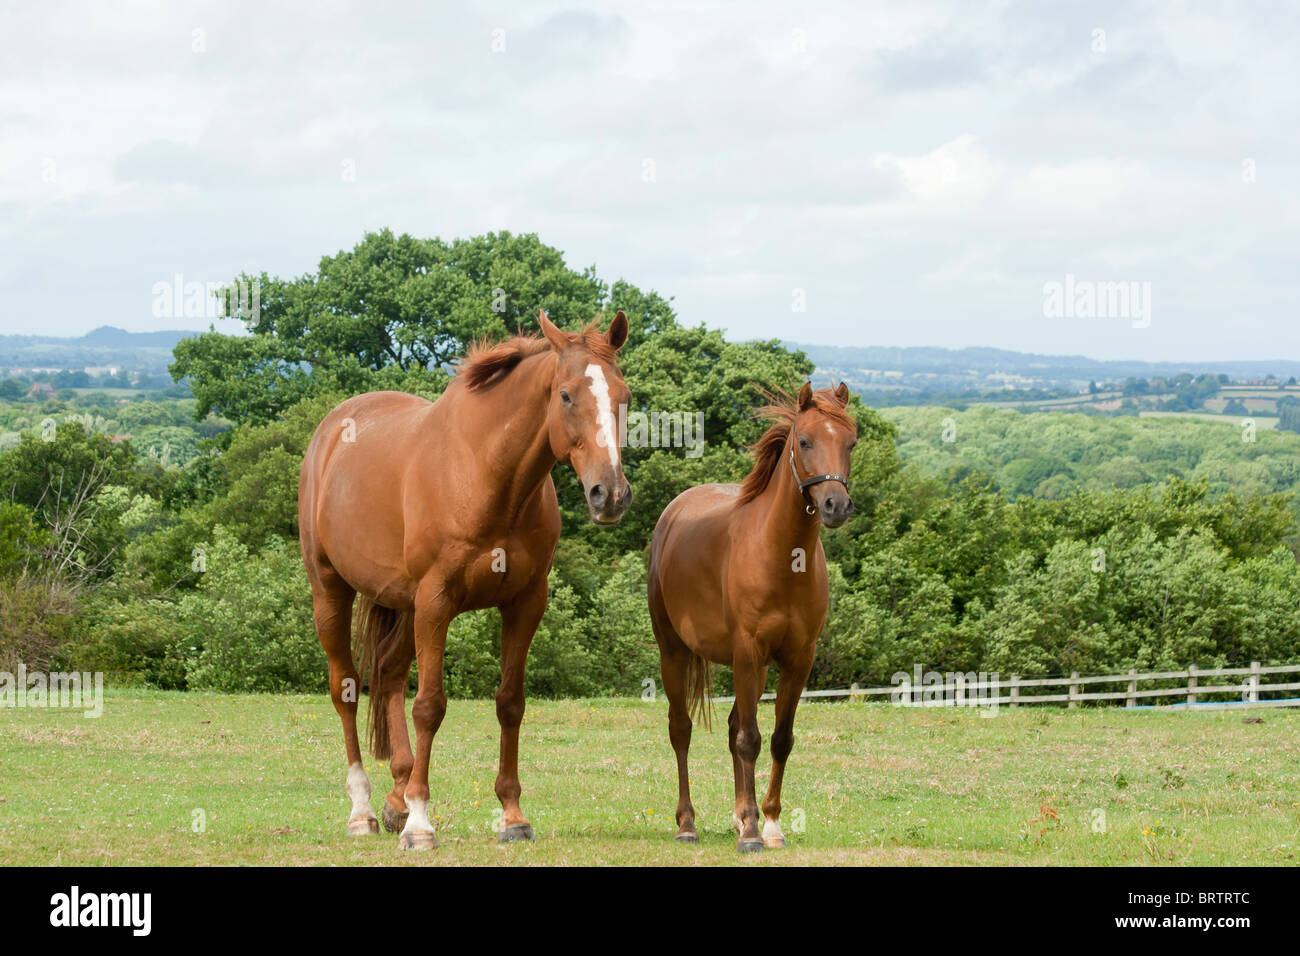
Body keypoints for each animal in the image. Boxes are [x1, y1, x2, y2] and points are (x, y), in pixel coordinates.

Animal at [298, 309, 632, 849]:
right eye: (565, 395)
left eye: (624, 395)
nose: (611, 494)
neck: (487, 475)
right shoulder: (437, 601)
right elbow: (429, 706)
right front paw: (420, 823)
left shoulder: (525, 603)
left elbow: (510, 703)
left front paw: (512, 815)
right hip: (332, 591)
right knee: (346, 689)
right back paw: (363, 810)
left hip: (404, 605)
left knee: (388, 673)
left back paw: (396, 795)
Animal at [647, 381, 857, 852]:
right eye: (804, 441)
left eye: (851, 442)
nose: (835, 505)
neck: (782, 557)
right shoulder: (748, 651)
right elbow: (750, 740)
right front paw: (752, 834)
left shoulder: (798, 660)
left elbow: (779, 740)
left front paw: (769, 823)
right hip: (675, 653)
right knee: (681, 730)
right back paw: (688, 824)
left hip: (754, 670)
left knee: (733, 729)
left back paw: (741, 814)